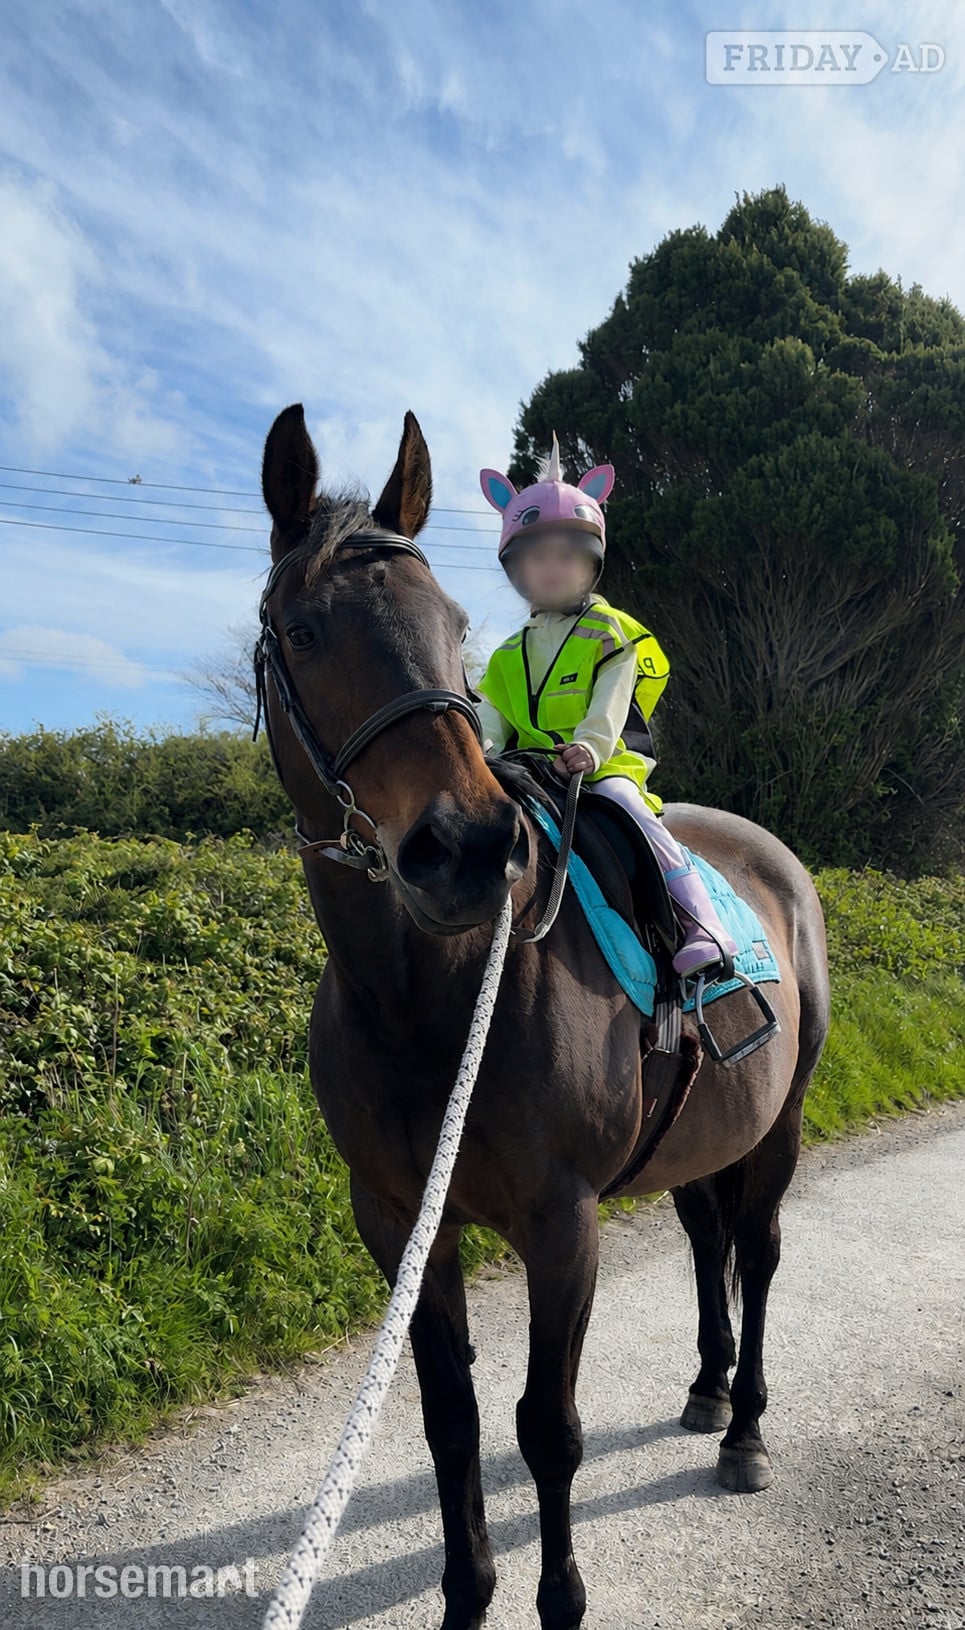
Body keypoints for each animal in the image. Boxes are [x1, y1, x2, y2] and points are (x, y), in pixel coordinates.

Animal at [256, 403, 831, 1630]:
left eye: (453, 626)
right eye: (307, 629)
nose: (467, 848)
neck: (421, 1001)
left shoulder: (561, 1227)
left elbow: (545, 1428)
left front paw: (557, 1597)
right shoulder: (398, 1222)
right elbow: (450, 1421)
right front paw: (467, 1595)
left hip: (780, 1123)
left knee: (756, 1253)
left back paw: (746, 1429)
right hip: (696, 1135)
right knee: (706, 1235)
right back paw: (709, 1388)